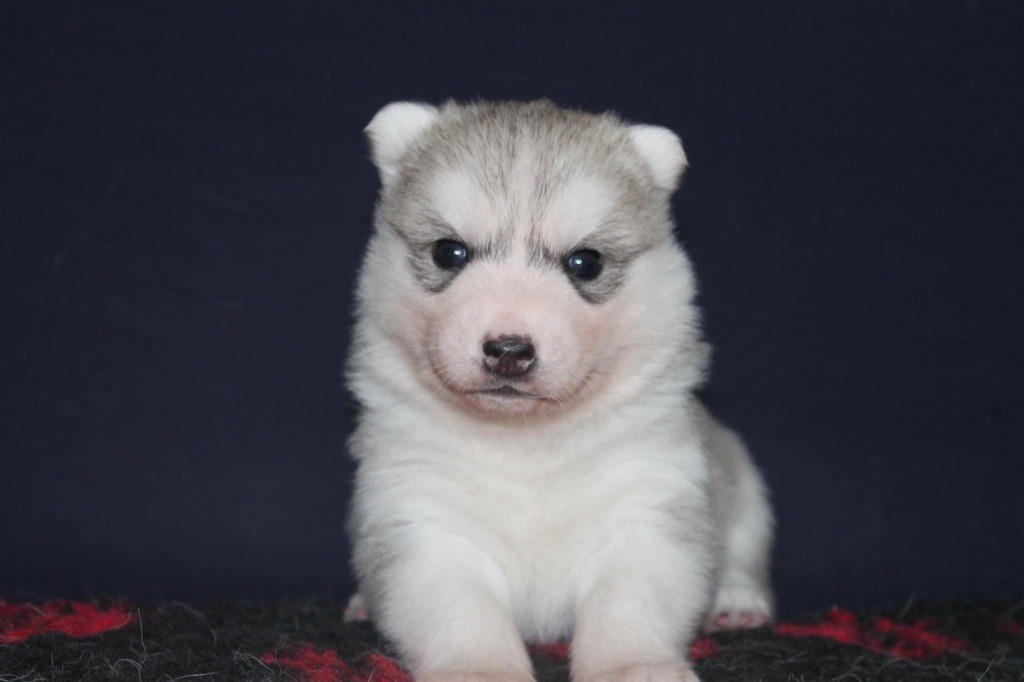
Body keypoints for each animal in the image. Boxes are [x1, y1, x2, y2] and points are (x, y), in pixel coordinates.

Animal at [344, 100, 770, 679]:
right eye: (449, 253)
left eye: (585, 262)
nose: (508, 349)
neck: (526, 442)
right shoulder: (422, 521)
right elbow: (462, 612)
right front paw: (481, 669)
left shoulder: (648, 508)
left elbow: (629, 604)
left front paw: (634, 665)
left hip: (742, 479)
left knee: (743, 549)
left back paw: (735, 599)